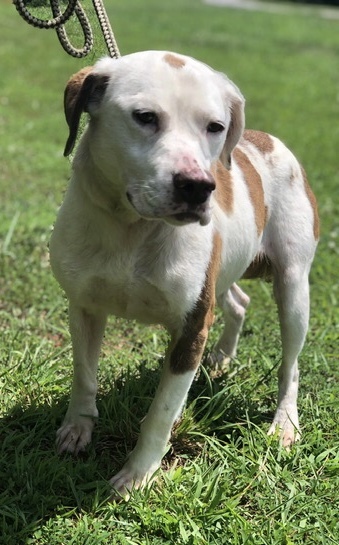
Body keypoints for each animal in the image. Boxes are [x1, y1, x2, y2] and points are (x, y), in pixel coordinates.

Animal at [49, 49, 320, 496]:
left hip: (293, 287)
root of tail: (268, 140)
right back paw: (222, 357)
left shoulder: (191, 328)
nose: (197, 186)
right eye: (144, 116)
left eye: (215, 126)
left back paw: (284, 422)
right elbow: (84, 374)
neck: (133, 229)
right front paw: (77, 428)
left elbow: (161, 411)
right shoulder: (84, 306)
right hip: (224, 272)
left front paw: (137, 474)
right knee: (238, 302)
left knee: (291, 363)